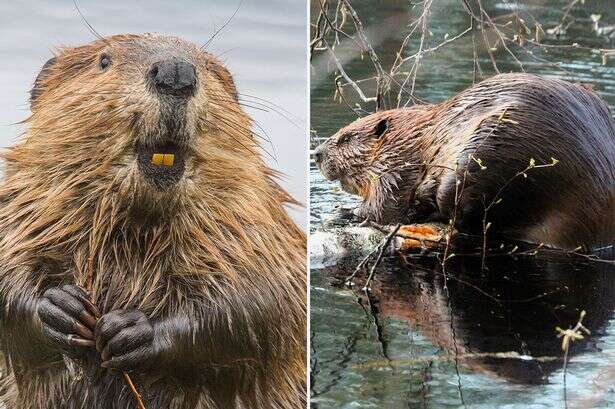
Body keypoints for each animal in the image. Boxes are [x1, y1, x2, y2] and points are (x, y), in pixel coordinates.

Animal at [0, 34, 306, 408]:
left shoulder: (253, 222)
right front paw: (63, 308)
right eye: (104, 61)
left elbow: (264, 299)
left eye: (208, 66)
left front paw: (131, 331)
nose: (176, 73)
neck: (135, 231)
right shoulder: (23, 205)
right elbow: (9, 270)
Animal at [316, 73, 615, 250]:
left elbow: (384, 208)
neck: (415, 137)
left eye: (346, 138)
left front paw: (344, 213)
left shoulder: (398, 172)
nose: (317, 153)